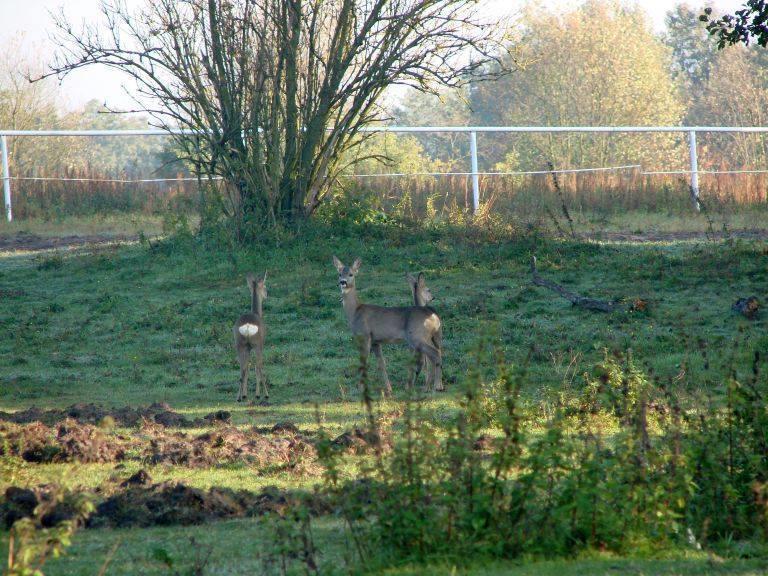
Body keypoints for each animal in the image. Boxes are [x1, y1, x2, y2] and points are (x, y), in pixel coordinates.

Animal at [232, 272, 268, 402]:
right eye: (264, 286)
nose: (266, 294)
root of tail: (247, 325)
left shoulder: (247, 348)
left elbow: (247, 369)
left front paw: (245, 394)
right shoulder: (260, 344)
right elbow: (256, 368)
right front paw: (257, 394)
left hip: (239, 344)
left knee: (242, 369)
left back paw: (239, 397)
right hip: (257, 344)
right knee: (259, 367)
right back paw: (264, 394)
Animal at [332, 258, 444, 396]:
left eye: (351, 274)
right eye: (339, 274)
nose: (343, 282)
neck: (355, 312)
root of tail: (433, 315)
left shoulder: (364, 335)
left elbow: (364, 362)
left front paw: (361, 388)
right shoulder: (376, 341)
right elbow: (381, 364)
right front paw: (388, 389)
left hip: (416, 337)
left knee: (434, 354)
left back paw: (436, 387)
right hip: (435, 336)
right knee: (437, 353)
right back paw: (433, 385)